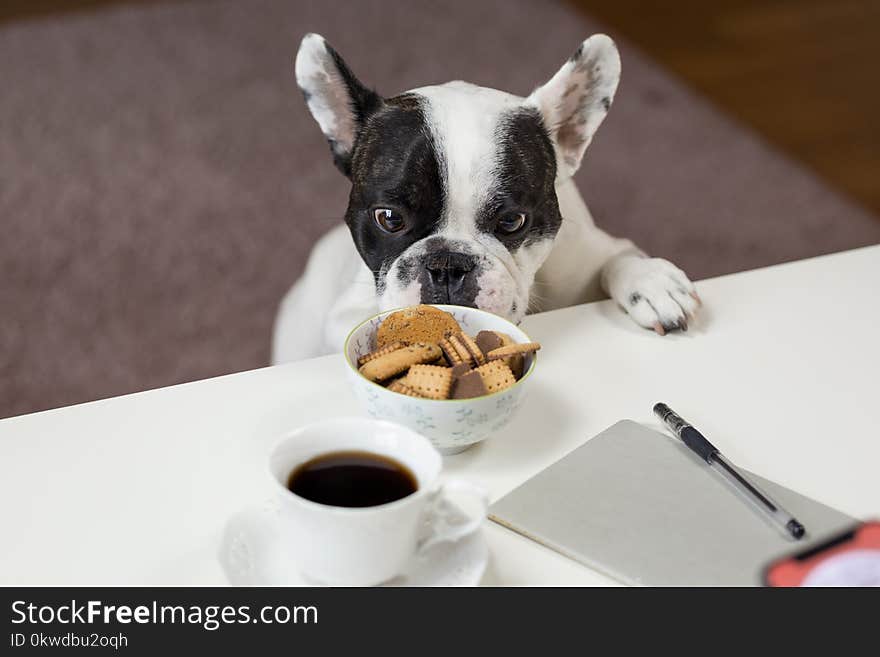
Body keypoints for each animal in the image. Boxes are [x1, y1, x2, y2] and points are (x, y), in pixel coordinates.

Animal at [272, 33, 696, 362]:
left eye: (512, 221)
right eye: (388, 218)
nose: (446, 264)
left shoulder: (589, 253)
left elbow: (618, 258)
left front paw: (652, 282)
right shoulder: (344, 314)